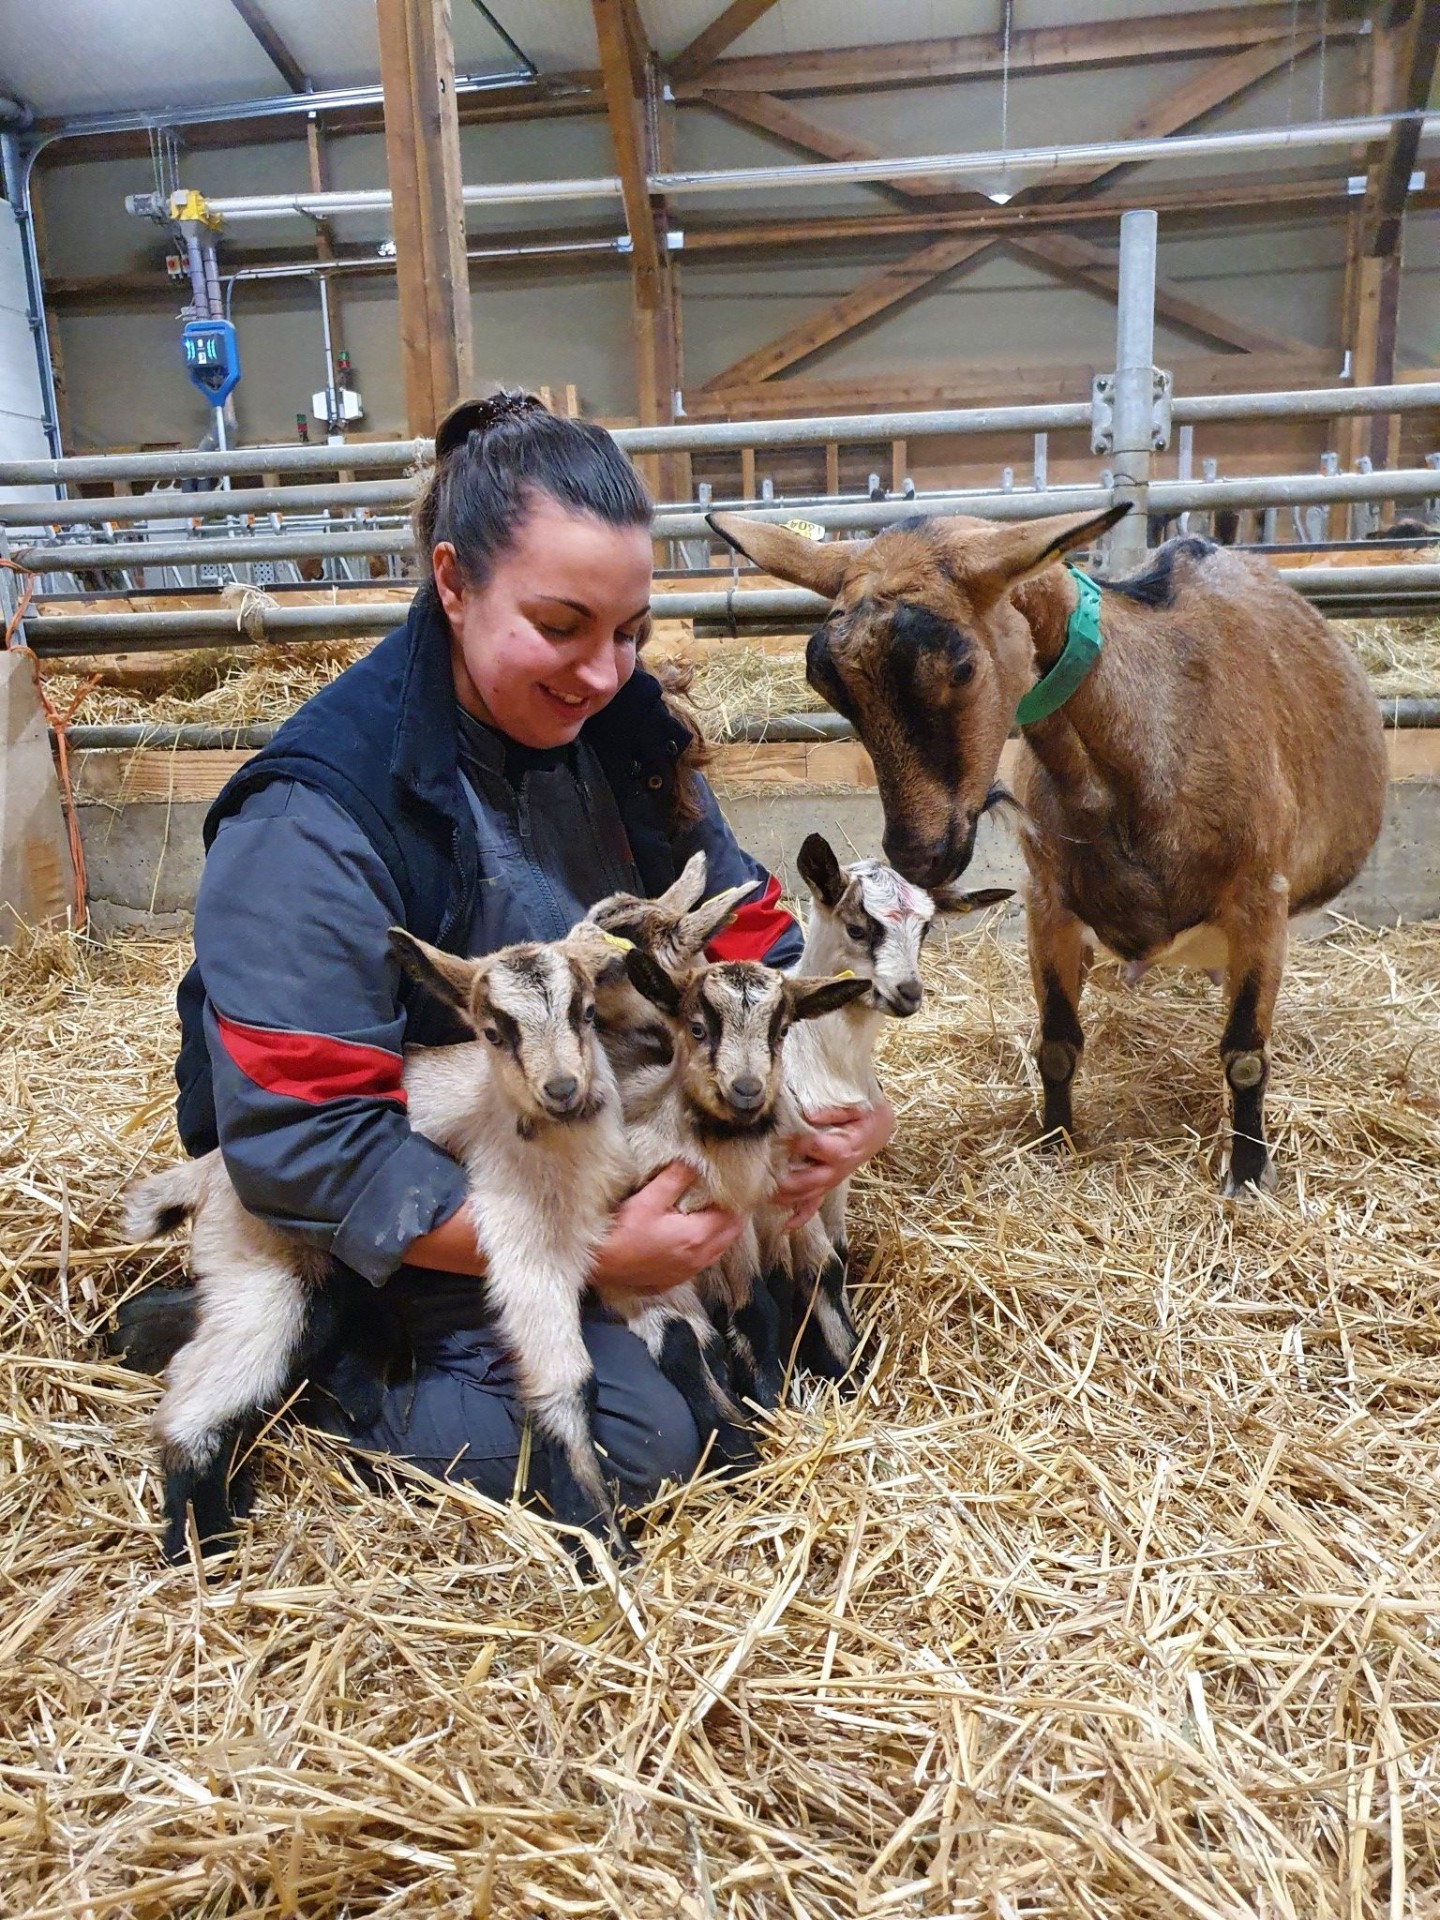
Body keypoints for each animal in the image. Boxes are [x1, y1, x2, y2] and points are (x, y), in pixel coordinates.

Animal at [718, 518, 1390, 1190]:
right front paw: (1054, 1143)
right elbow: (1059, 1044)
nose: (920, 854)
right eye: (828, 684)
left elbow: (1246, 1056)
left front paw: (1248, 1176)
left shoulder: (1260, 900)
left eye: (962, 666)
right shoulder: (1048, 903)